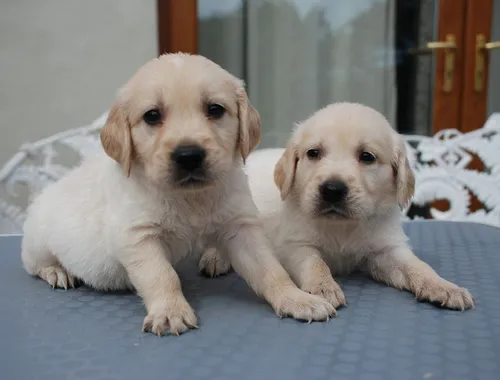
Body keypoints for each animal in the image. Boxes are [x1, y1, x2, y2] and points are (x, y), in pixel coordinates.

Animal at [20, 53, 336, 336]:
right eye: (152, 116)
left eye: (215, 109)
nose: (189, 156)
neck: (190, 197)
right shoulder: (138, 236)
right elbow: (163, 276)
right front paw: (170, 311)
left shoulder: (240, 228)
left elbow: (271, 270)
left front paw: (297, 299)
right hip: (37, 241)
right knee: (33, 264)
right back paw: (57, 271)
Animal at [200, 102, 472, 314]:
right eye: (313, 153)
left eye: (367, 156)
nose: (332, 189)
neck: (343, 226)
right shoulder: (293, 245)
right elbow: (315, 263)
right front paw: (323, 287)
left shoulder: (387, 249)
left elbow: (418, 266)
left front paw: (444, 286)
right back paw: (216, 257)